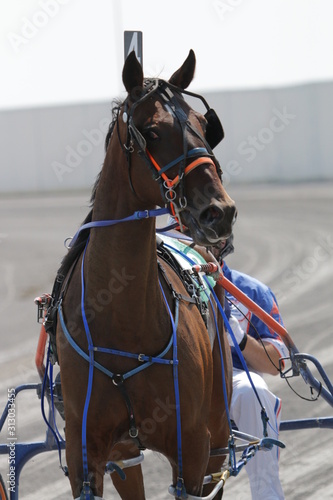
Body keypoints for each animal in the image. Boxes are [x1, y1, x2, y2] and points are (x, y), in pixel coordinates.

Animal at [55, 48, 236, 498]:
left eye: (205, 125)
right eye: (151, 131)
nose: (219, 211)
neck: (121, 317)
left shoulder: (192, 447)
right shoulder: (85, 453)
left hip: (218, 426)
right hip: (123, 453)